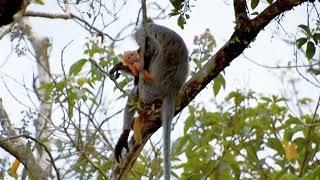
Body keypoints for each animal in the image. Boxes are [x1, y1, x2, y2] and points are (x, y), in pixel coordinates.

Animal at [111, 22, 189, 179]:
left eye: (134, 53)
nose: (136, 53)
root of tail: (174, 87)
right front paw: (120, 66)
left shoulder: (142, 34)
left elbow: (151, 49)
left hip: (153, 89)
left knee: (136, 92)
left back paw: (125, 133)